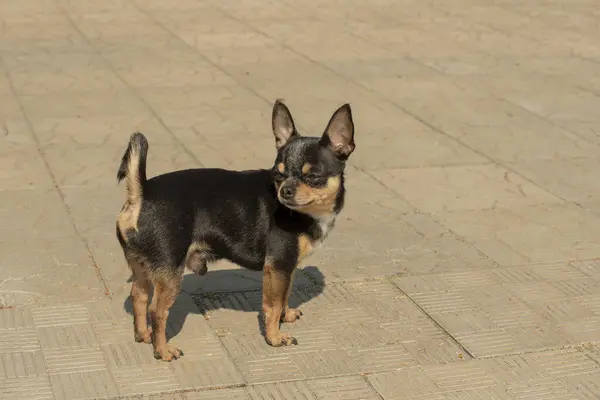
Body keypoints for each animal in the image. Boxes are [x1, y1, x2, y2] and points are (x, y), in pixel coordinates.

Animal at [115, 99, 354, 360]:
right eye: (278, 175)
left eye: (313, 177)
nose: (285, 191)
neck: (309, 213)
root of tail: (142, 193)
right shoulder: (278, 265)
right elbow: (273, 304)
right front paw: (275, 337)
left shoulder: (286, 267)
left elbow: (286, 293)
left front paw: (286, 315)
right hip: (169, 273)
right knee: (157, 311)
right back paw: (163, 351)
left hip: (142, 267)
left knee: (138, 296)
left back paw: (143, 335)